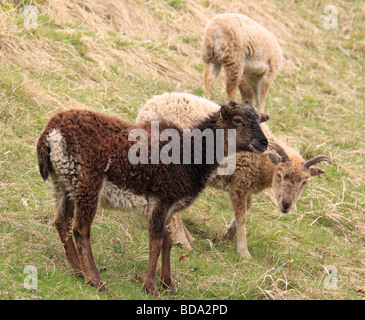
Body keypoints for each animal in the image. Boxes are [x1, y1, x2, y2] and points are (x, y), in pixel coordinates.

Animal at [136, 92, 330, 258]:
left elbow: (247, 208)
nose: (286, 206)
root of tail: (147, 107)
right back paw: (183, 240)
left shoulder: (247, 188)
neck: (263, 164)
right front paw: (243, 252)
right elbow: (242, 216)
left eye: (304, 182)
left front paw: (229, 234)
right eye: (280, 175)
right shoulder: (240, 183)